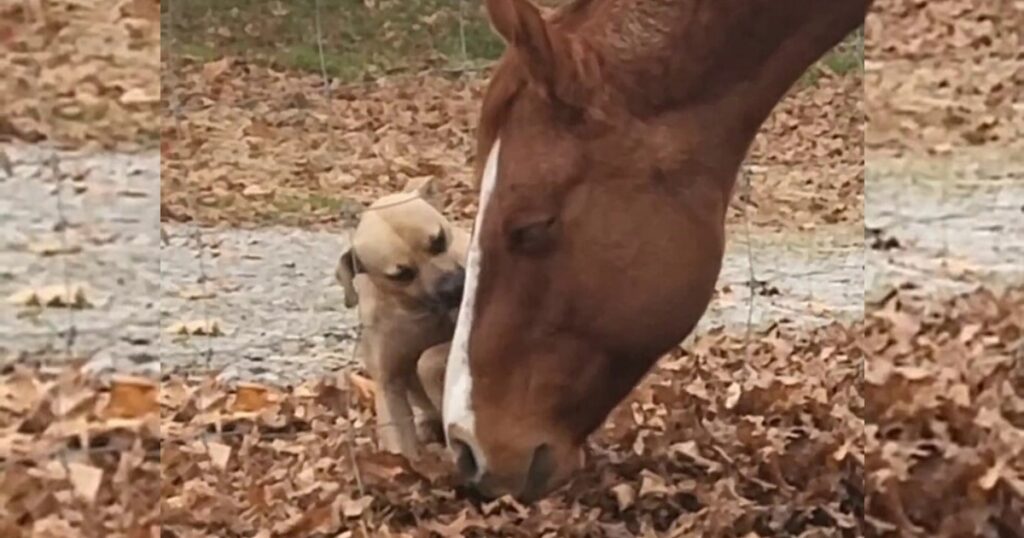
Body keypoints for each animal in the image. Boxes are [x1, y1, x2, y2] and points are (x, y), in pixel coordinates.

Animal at [333, 176, 466, 457]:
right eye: (402, 274)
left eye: (438, 240)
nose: (455, 287)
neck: (419, 312)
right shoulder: (388, 384)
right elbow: (399, 444)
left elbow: (428, 359)